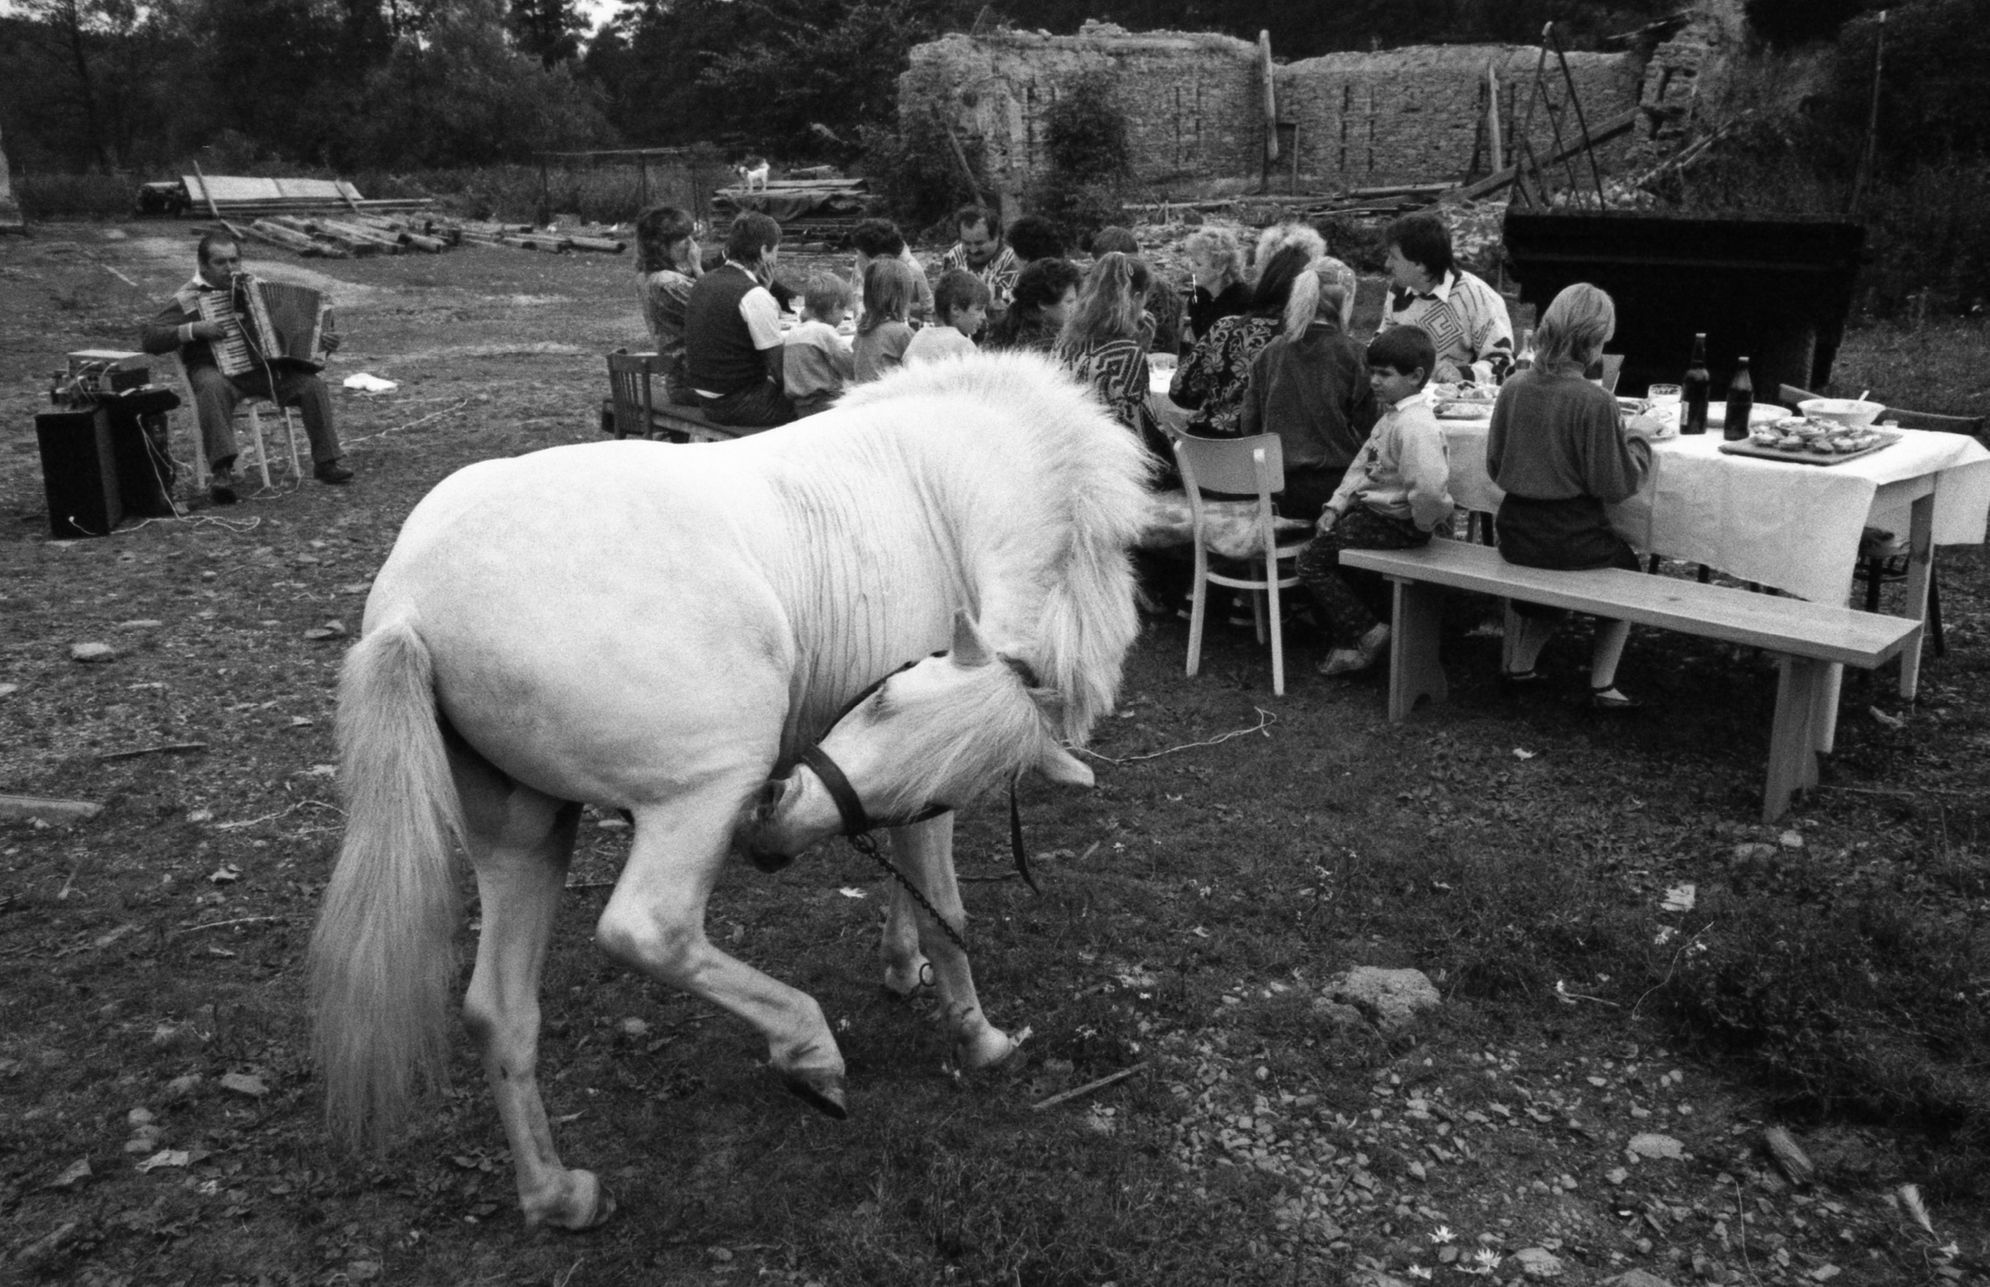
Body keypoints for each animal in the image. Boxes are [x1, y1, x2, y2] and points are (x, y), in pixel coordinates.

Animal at [308, 350, 1154, 1225]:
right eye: (883, 695)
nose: (772, 826)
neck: (947, 485)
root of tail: (410, 605)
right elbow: (946, 910)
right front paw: (977, 1034)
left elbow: (908, 885)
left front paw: (900, 966)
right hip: (704, 794)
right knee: (650, 931)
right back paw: (807, 1046)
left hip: (525, 832)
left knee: (497, 1012)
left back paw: (557, 1192)